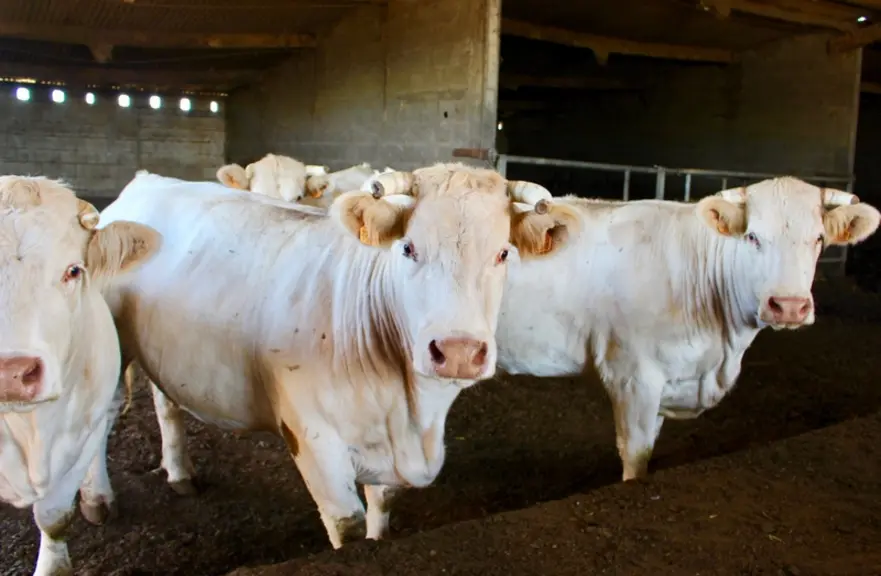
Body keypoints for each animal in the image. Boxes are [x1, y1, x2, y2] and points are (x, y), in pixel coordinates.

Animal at [99, 163, 581, 549]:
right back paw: (99, 500)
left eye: (503, 253)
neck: (412, 414)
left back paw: (179, 472)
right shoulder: (312, 437)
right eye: (408, 248)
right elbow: (346, 524)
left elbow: (382, 503)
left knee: (166, 405)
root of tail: (147, 181)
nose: (458, 351)